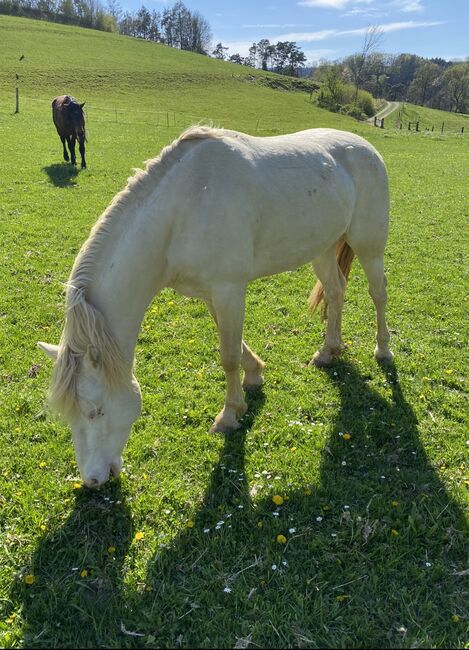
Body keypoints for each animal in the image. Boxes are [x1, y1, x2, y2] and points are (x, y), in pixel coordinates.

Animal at [38, 126, 394, 484]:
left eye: (94, 410)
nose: (93, 480)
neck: (182, 211)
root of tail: (365, 146)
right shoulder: (212, 293)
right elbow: (235, 346)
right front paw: (254, 375)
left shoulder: (229, 288)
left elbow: (228, 357)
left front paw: (229, 416)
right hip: (322, 249)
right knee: (335, 291)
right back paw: (328, 351)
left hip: (369, 246)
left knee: (378, 293)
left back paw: (383, 350)